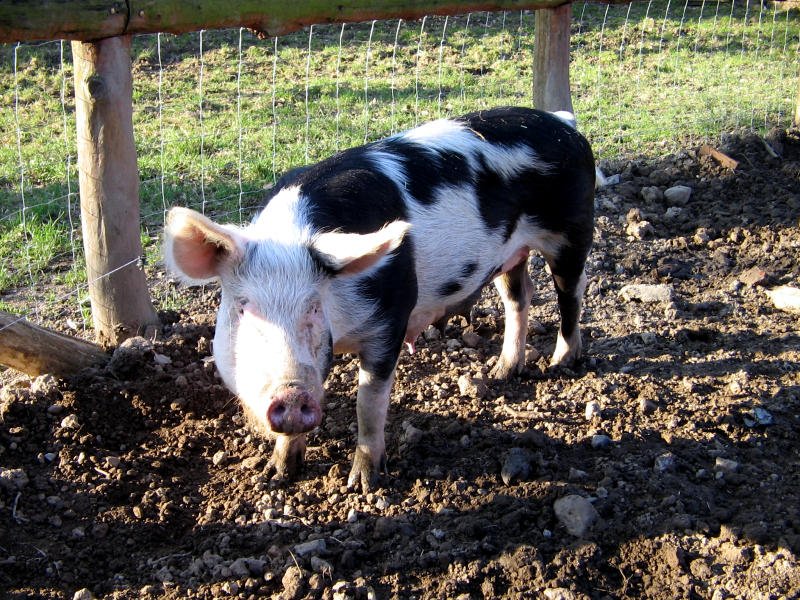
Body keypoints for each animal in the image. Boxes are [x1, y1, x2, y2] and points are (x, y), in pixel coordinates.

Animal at [166, 108, 596, 492]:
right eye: (243, 307)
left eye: (314, 306)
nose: (291, 395)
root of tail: (563, 123)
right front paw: (274, 476)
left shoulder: (390, 320)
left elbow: (368, 402)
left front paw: (362, 485)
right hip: (511, 254)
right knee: (519, 297)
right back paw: (502, 372)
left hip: (572, 232)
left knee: (571, 294)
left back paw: (560, 363)